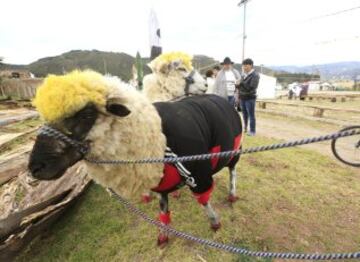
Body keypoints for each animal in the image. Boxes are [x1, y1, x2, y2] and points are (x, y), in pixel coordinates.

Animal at [27, 69, 242, 246]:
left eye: (86, 115)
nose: (35, 167)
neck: (157, 135)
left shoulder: (198, 172)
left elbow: (203, 200)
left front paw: (215, 222)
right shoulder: (159, 180)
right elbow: (163, 210)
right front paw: (163, 235)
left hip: (234, 150)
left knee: (232, 171)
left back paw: (232, 194)